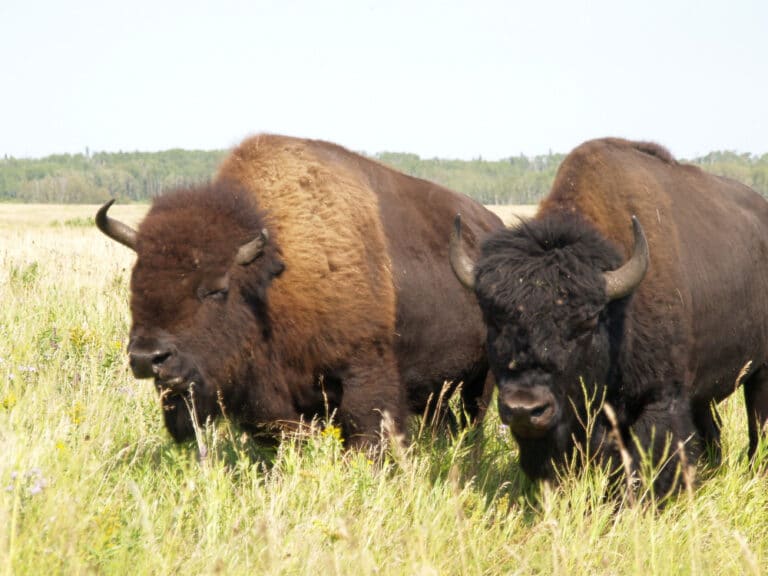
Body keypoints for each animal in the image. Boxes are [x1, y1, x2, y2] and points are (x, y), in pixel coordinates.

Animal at [97, 133, 502, 448]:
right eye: (136, 281)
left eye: (217, 289)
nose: (148, 358)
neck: (268, 280)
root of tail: (489, 224)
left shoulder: (365, 375)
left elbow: (367, 436)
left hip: (480, 380)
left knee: (472, 419)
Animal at [451, 137, 768, 495]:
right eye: (493, 319)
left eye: (587, 321)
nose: (524, 408)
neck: (618, 315)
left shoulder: (659, 400)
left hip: (761, 373)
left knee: (758, 425)